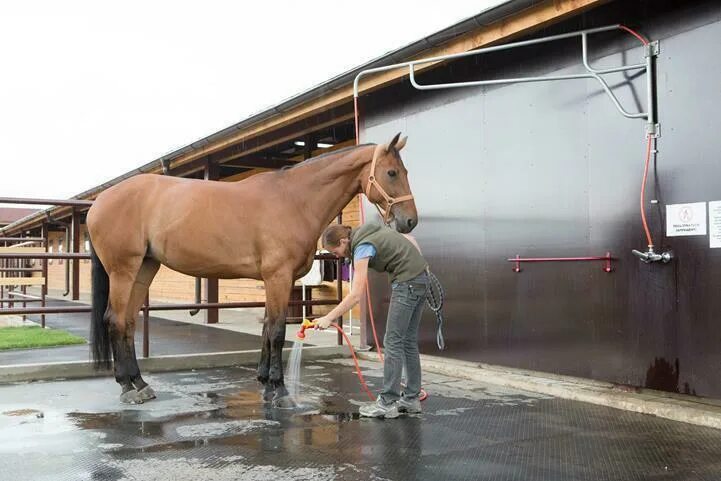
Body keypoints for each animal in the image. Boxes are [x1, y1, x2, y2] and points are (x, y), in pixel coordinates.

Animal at [86, 132, 414, 404]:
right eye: (392, 173)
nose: (409, 220)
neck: (294, 200)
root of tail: (99, 202)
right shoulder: (278, 277)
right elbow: (278, 331)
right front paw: (279, 388)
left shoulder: (276, 280)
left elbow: (268, 327)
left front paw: (265, 381)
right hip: (123, 270)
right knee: (115, 320)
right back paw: (127, 387)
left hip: (144, 268)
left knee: (128, 322)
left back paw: (139, 383)